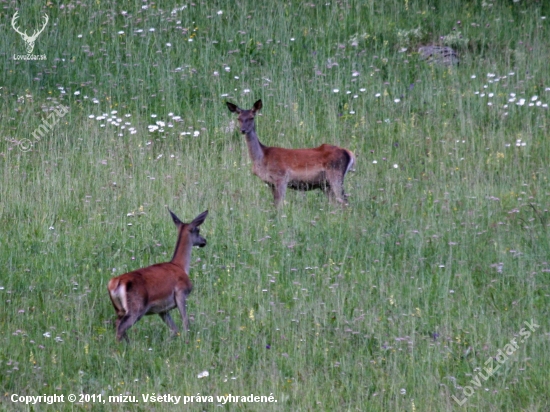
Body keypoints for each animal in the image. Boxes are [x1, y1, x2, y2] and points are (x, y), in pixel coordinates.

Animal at [108, 209, 209, 342]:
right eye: (198, 230)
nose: (204, 241)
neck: (180, 266)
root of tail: (115, 283)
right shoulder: (181, 293)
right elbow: (186, 323)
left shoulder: (163, 309)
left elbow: (175, 329)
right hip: (136, 308)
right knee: (121, 327)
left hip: (119, 309)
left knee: (118, 325)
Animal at [226, 99, 356, 208]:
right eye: (238, 118)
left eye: (251, 117)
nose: (243, 130)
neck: (262, 158)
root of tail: (350, 153)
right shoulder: (270, 183)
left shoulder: (281, 178)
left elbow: (278, 206)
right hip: (326, 184)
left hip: (336, 174)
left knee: (344, 202)